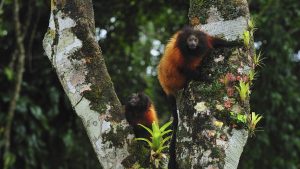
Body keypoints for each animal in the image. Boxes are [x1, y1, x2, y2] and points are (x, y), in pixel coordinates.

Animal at [158, 25, 243, 168]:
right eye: (189, 40)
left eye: (195, 40)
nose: (192, 43)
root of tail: (167, 88)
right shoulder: (179, 54)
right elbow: (184, 69)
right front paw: (205, 78)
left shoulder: (204, 39)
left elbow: (215, 42)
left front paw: (234, 43)